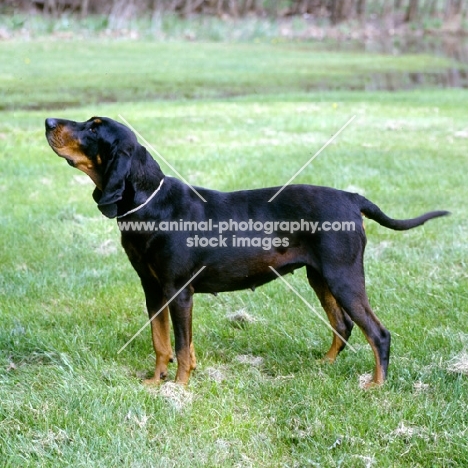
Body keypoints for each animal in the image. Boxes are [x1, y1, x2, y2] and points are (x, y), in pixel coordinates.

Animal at [44, 115, 450, 386]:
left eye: (94, 128)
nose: (48, 120)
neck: (150, 202)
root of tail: (353, 198)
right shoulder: (153, 288)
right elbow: (162, 342)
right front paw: (155, 383)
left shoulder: (178, 291)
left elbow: (181, 346)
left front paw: (179, 388)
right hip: (320, 277)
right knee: (343, 325)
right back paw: (324, 365)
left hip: (343, 276)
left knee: (377, 333)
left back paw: (375, 386)